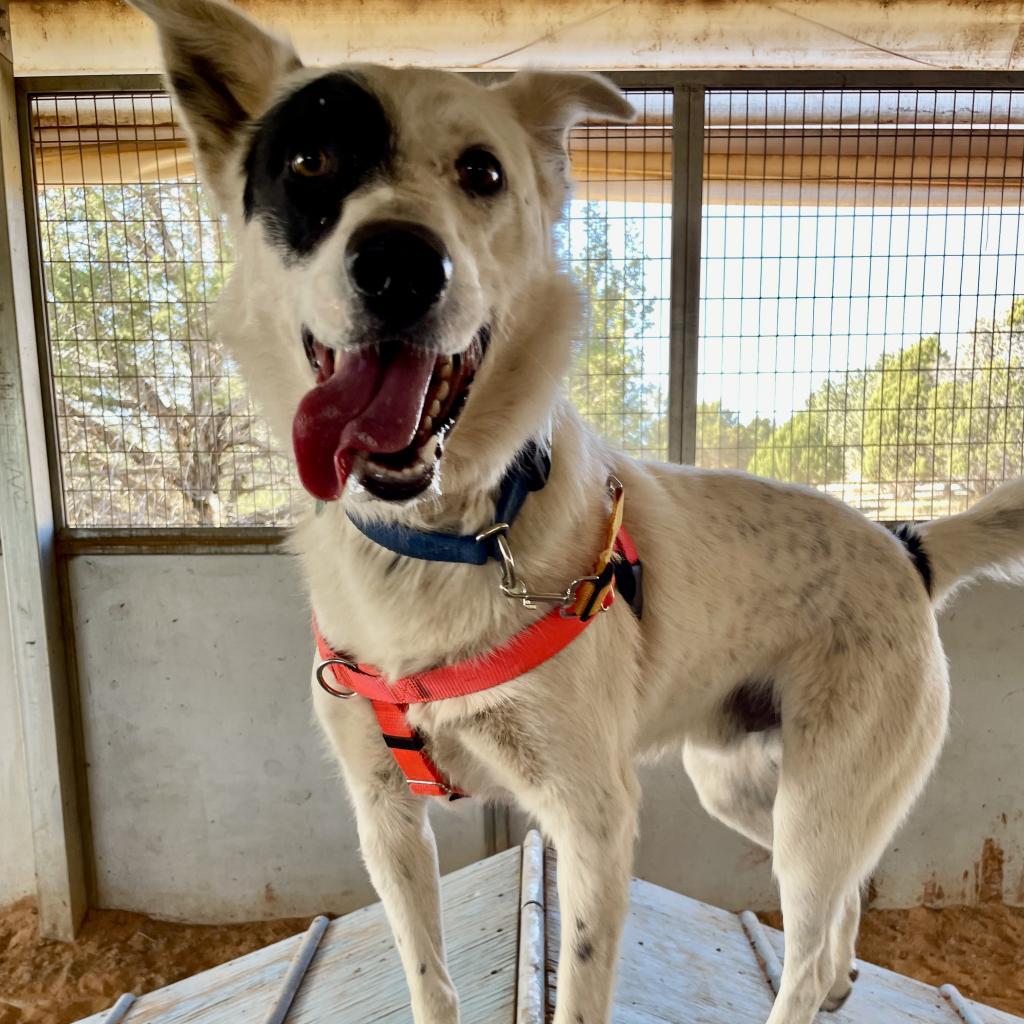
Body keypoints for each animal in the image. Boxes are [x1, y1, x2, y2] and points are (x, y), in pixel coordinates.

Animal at [134, 4, 1024, 1019]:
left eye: (483, 172)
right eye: (309, 162)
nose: (401, 263)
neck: (444, 541)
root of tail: (906, 542)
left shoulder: (593, 820)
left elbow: (580, 986)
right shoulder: (386, 819)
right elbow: (429, 980)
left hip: (816, 804)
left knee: (804, 939)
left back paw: (811, 984)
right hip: (745, 786)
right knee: (845, 896)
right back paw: (842, 975)